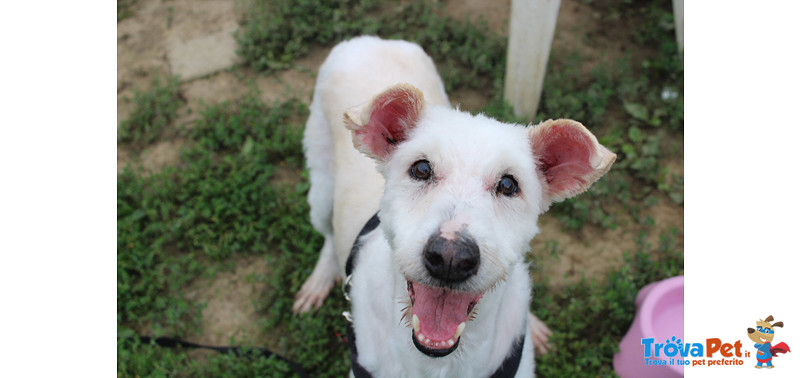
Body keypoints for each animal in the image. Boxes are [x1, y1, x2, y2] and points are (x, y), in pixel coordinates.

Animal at [292, 34, 612, 376]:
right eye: (421, 168)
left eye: (509, 185)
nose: (450, 258)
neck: (438, 363)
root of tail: (372, 39)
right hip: (320, 190)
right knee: (328, 234)